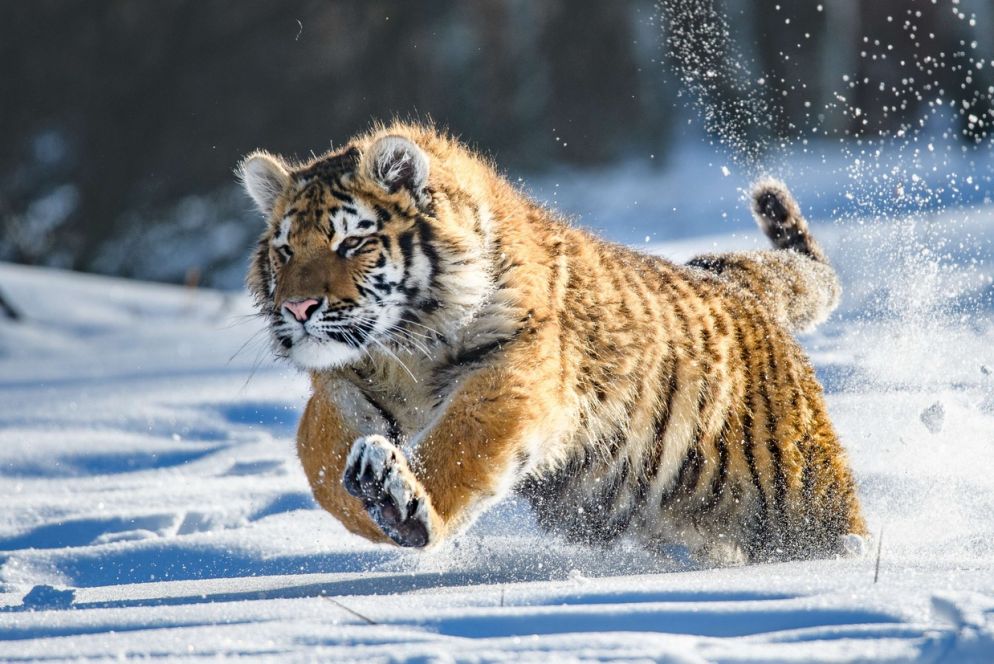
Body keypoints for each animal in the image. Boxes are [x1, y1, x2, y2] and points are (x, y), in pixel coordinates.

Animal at [237, 122, 867, 565]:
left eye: (352, 243)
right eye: (285, 251)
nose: (297, 308)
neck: (405, 349)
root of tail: (733, 283)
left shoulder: (514, 370)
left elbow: (460, 443)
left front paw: (402, 503)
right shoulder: (343, 382)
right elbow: (320, 458)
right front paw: (368, 500)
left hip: (799, 489)